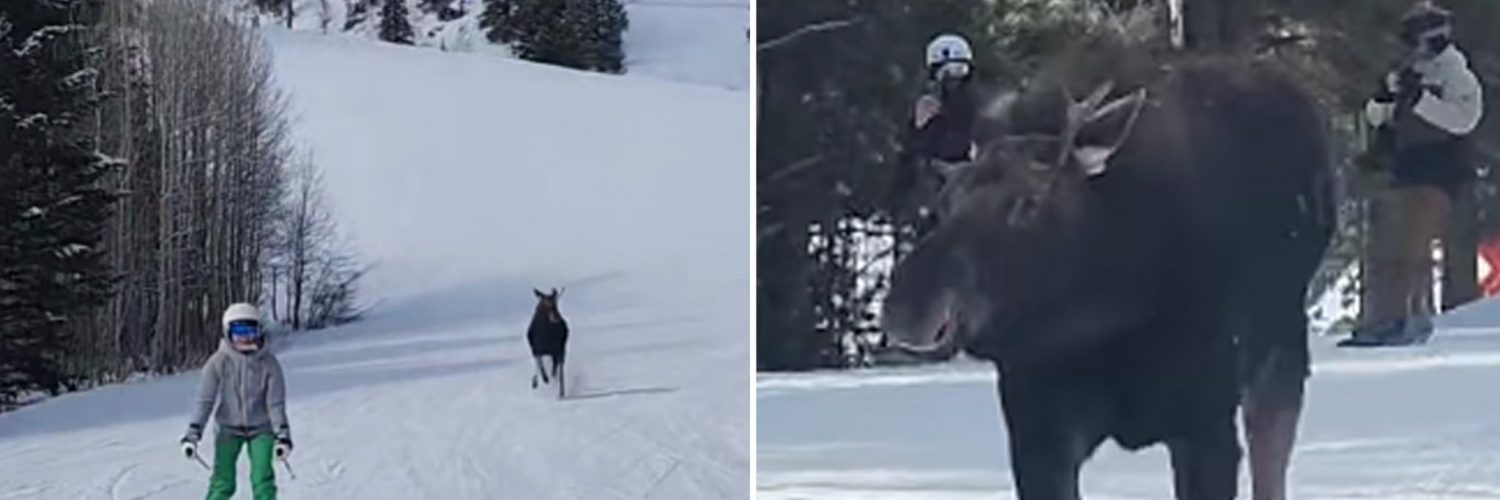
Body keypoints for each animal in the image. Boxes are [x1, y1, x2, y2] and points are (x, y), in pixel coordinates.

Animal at [876, 39, 1338, 498]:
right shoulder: (1036, 430)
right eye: (944, 203)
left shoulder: (1204, 420)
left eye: (1030, 202)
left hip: (1280, 346)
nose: (908, 306)